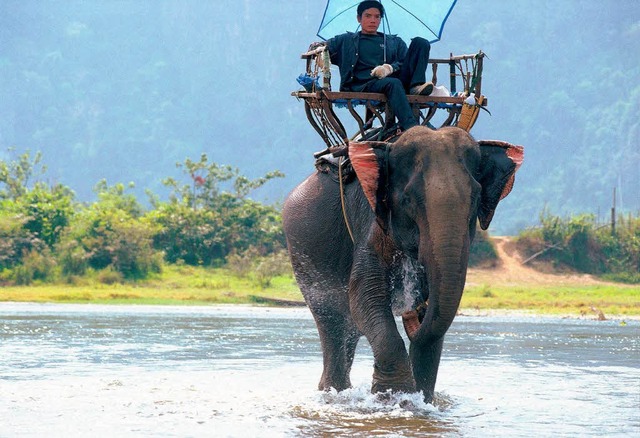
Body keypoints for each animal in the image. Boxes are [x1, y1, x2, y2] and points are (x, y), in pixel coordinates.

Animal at [282, 125, 524, 402]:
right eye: (408, 200)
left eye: (475, 199)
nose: (411, 313)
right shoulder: (370, 220)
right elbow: (365, 295)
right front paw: (393, 396)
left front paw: (421, 399)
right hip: (303, 254)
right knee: (333, 319)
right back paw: (333, 392)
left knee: (349, 327)